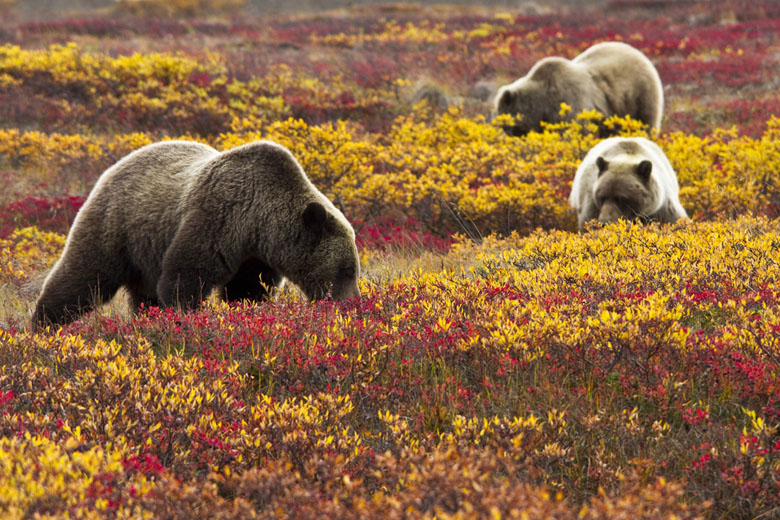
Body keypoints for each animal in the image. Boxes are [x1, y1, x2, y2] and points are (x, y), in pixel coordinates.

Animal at [32, 140, 361, 328]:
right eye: (348, 270)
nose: (352, 305)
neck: (258, 224)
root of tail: (117, 164)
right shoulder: (218, 219)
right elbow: (185, 279)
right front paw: (186, 321)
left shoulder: (255, 257)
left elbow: (247, 291)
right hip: (116, 224)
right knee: (84, 276)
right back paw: (43, 325)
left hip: (145, 252)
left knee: (142, 296)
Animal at [493, 41, 663, 137]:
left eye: (503, 119)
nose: (506, 132)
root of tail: (640, 53)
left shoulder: (570, 103)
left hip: (640, 95)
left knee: (646, 122)